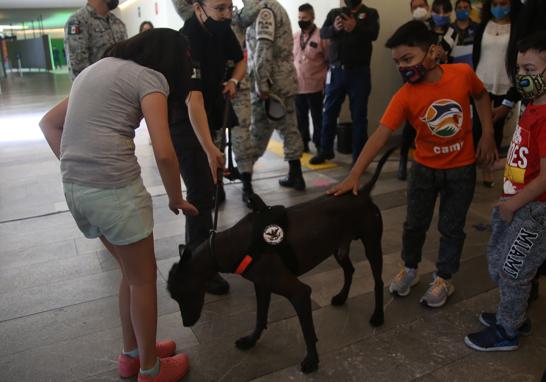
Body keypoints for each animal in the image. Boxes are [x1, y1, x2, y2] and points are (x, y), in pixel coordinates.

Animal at [168, 148, 394, 374]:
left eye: (183, 294)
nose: (186, 323)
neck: (230, 245)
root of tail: (362, 192)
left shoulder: (299, 293)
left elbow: (307, 330)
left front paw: (312, 360)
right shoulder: (262, 286)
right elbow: (260, 317)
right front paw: (251, 341)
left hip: (372, 245)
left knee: (378, 281)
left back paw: (378, 316)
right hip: (339, 249)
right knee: (350, 270)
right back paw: (341, 297)